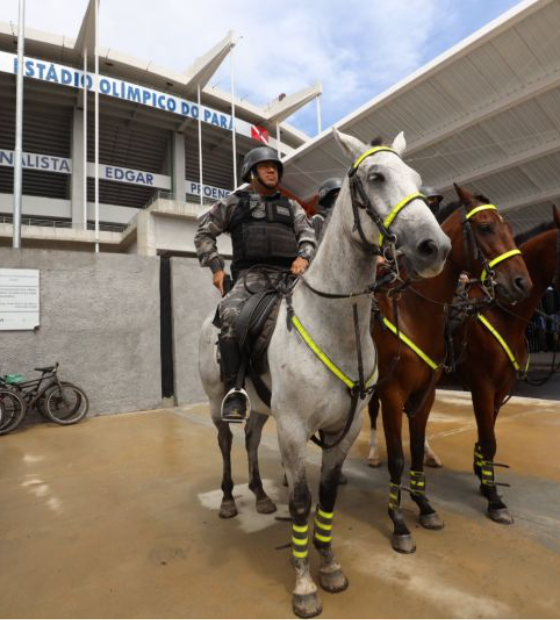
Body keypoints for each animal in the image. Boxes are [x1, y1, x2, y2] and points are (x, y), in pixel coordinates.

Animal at [199, 128, 452, 616]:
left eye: (416, 179)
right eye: (376, 177)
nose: (435, 248)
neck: (337, 326)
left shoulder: (345, 427)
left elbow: (329, 496)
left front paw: (330, 565)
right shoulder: (295, 428)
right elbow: (301, 503)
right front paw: (304, 586)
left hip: (264, 408)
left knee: (252, 439)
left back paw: (261, 496)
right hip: (218, 401)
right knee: (225, 441)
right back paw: (229, 500)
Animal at [370, 185, 532, 552]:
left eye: (510, 228)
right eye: (486, 227)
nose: (521, 283)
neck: (414, 312)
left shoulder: (426, 392)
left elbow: (416, 449)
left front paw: (424, 506)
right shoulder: (392, 393)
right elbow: (397, 457)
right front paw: (399, 523)